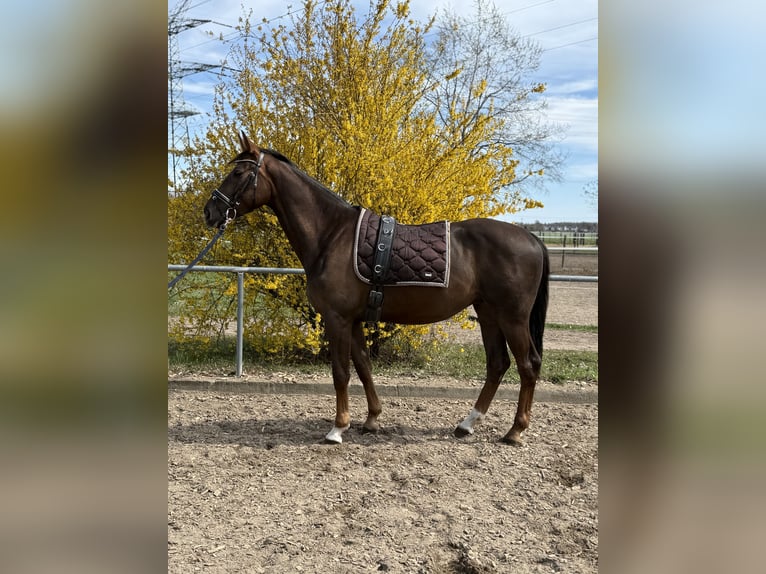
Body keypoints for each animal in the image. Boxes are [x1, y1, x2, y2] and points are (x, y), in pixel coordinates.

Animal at [203, 132, 549, 445]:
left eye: (238, 173)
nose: (210, 211)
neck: (332, 234)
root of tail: (531, 238)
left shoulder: (337, 319)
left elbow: (341, 372)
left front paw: (337, 428)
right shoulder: (354, 319)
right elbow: (364, 367)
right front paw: (371, 419)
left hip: (512, 317)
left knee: (527, 365)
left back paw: (515, 431)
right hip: (489, 313)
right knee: (498, 364)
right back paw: (467, 424)